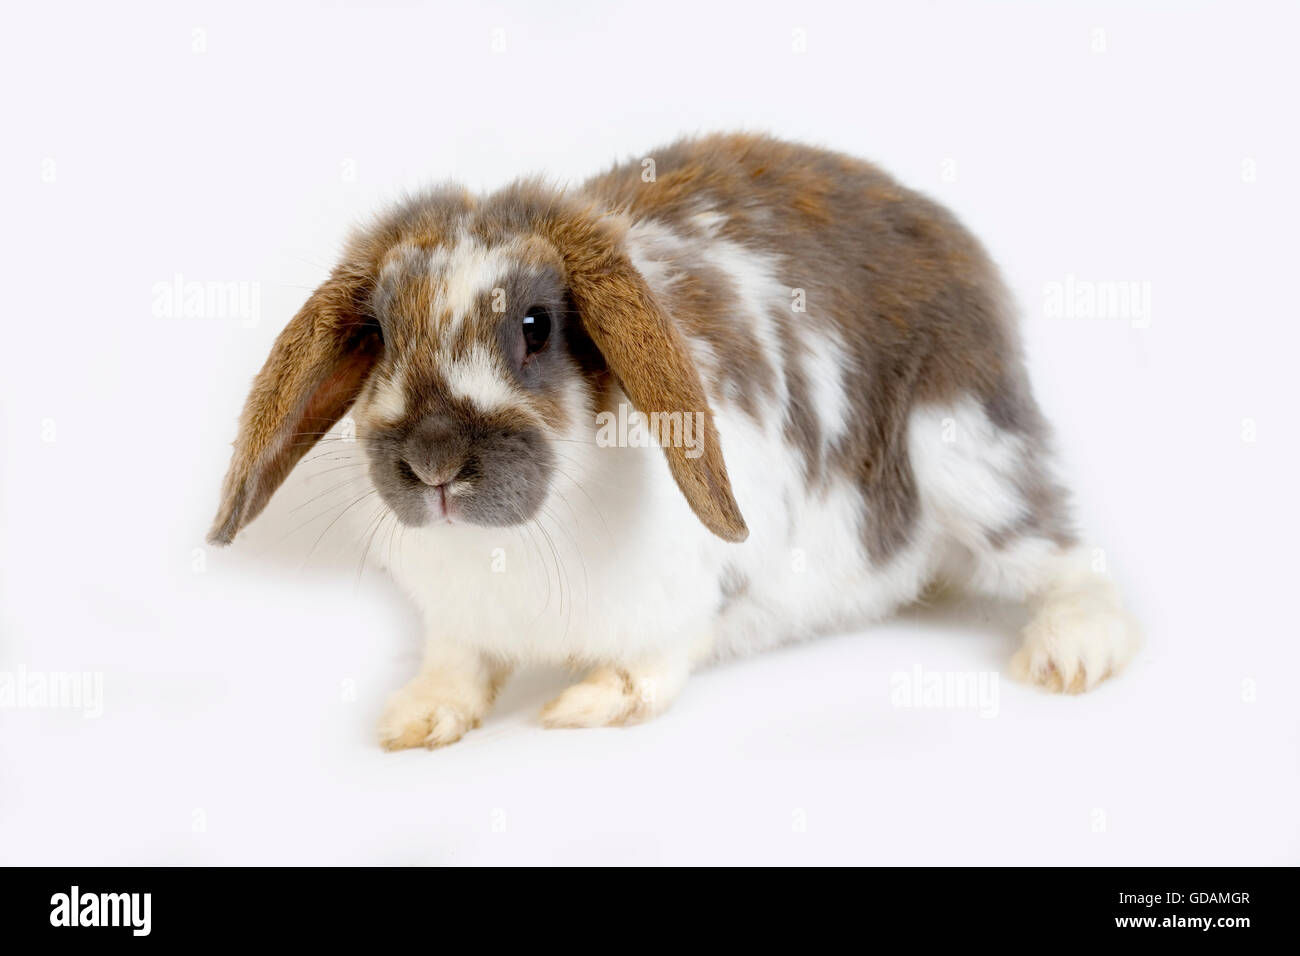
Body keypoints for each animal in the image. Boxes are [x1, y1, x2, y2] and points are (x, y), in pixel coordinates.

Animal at [208, 133, 1140, 750]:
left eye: (536, 326)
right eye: (377, 333)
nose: (433, 463)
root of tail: (947, 233)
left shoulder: (701, 592)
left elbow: (654, 665)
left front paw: (579, 706)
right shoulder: (458, 624)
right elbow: (459, 665)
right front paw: (415, 718)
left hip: (966, 456)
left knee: (1069, 559)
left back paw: (1070, 654)